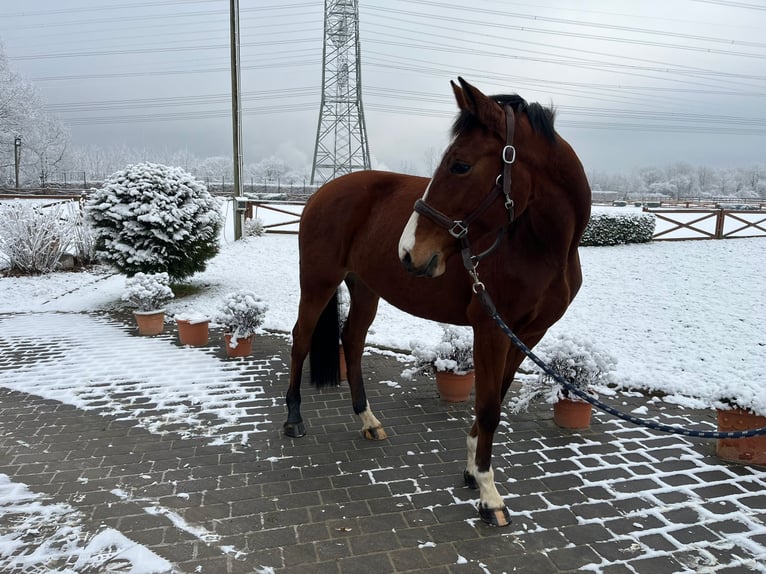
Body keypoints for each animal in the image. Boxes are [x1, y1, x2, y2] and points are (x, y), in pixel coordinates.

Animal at [284, 79, 592, 528]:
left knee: (352, 340)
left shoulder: (527, 335)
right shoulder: (490, 330)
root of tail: (324, 190)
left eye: (460, 165)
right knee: (301, 340)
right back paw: (294, 419)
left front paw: (471, 472)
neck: (538, 246)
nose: (408, 252)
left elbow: (495, 400)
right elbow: (488, 408)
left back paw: (368, 420)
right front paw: (489, 495)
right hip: (318, 283)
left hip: (366, 289)